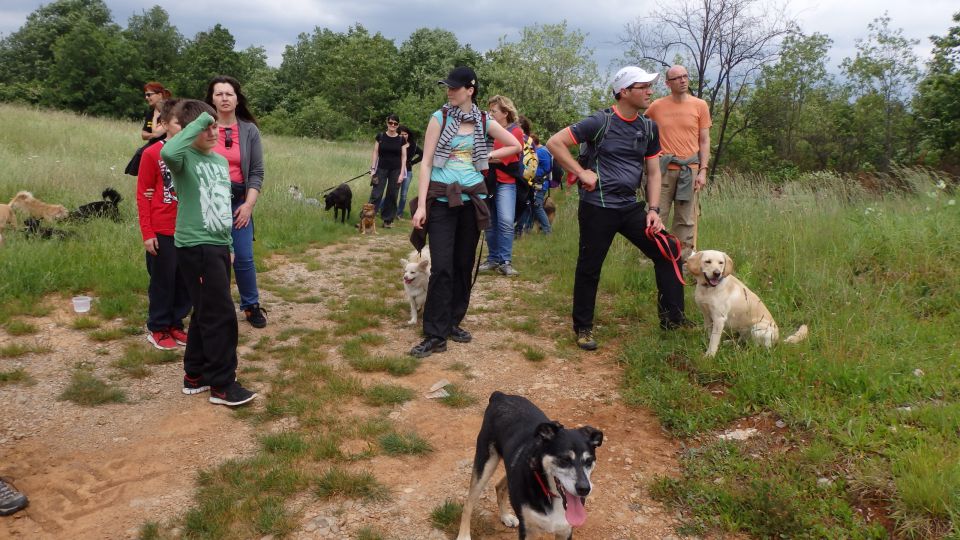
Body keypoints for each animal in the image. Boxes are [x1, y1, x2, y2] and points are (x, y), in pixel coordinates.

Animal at [456, 392, 600, 540]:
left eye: (589, 461)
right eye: (564, 459)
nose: (584, 489)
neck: (550, 493)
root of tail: (500, 395)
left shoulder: (565, 531)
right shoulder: (528, 530)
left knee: (499, 486)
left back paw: (505, 516)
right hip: (485, 463)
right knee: (468, 503)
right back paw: (464, 535)